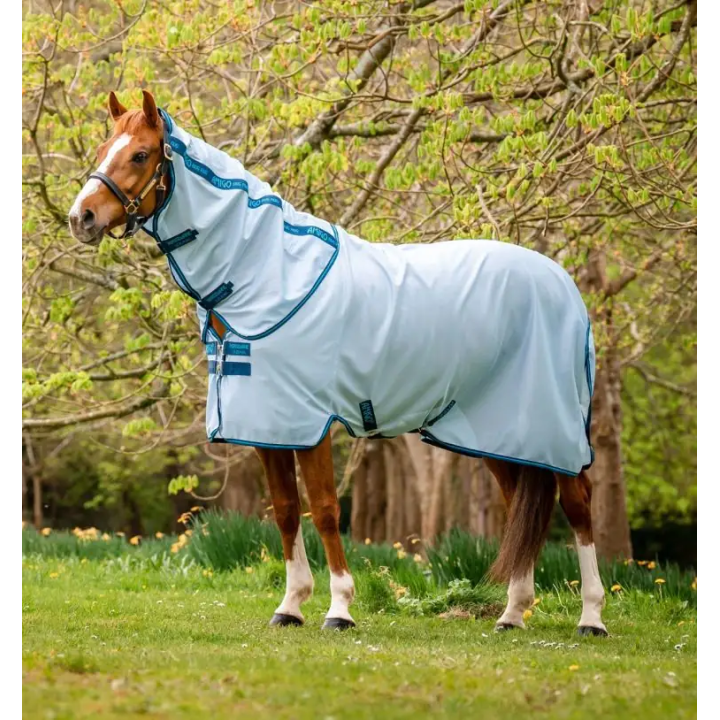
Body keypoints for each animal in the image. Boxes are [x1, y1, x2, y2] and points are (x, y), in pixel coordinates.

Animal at [68, 90, 608, 636]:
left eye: (140, 154)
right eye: (103, 148)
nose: (81, 217)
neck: (267, 273)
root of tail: (562, 283)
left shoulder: (312, 423)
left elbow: (325, 510)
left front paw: (339, 608)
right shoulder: (268, 426)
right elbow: (287, 510)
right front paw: (290, 606)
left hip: (552, 426)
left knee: (578, 503)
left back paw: (590, 617)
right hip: (500, 431)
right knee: (520, 504)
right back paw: (512, 613)